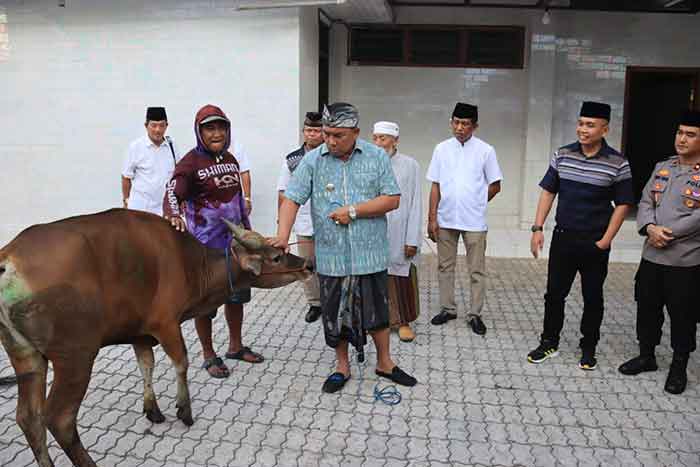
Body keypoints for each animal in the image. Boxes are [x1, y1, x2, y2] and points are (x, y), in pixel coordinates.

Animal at [0, 209, 312, 467]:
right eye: (276, 257)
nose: (307, 264)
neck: (190, 265)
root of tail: (9, 261)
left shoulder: (140, 334)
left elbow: (146, 365)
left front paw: (153, 409)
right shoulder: (166, 324)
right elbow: (181, 362)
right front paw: (184, 411)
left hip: (26, 357)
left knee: (28, 417)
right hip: (75, 356)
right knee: (58, 418)